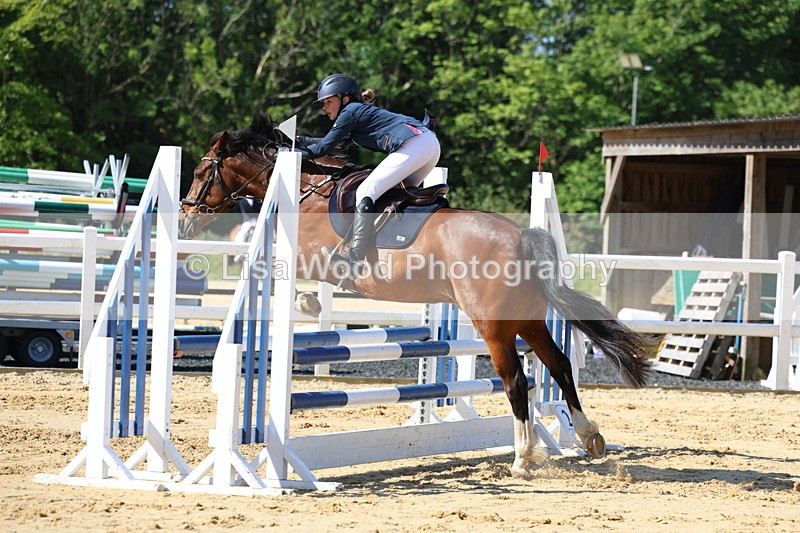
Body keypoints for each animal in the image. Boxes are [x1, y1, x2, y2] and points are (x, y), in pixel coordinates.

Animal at [179, 111, 652, 479]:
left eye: (201, 173)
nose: (185, 220)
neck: (303, 189)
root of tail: (521, 236)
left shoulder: (309, 256)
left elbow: (279, 270)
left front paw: (306, 302)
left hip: (494, 327)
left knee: (517, 381)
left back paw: (523, 458)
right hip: (529, 320)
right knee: (559, 366)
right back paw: (588, 436)